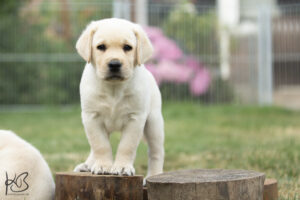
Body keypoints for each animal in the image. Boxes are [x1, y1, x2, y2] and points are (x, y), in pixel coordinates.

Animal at [74, 18, 165, 179]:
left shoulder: (135, 118)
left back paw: (154, 175)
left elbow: (126, 146)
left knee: (156, 152)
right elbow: (100, 145)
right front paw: (103, 166)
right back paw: (88, 165)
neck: (113, 89)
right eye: (101, 47)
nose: (114, 64)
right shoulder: (91, 117)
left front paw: (122, 167)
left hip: (154, 123)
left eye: (127, 47)